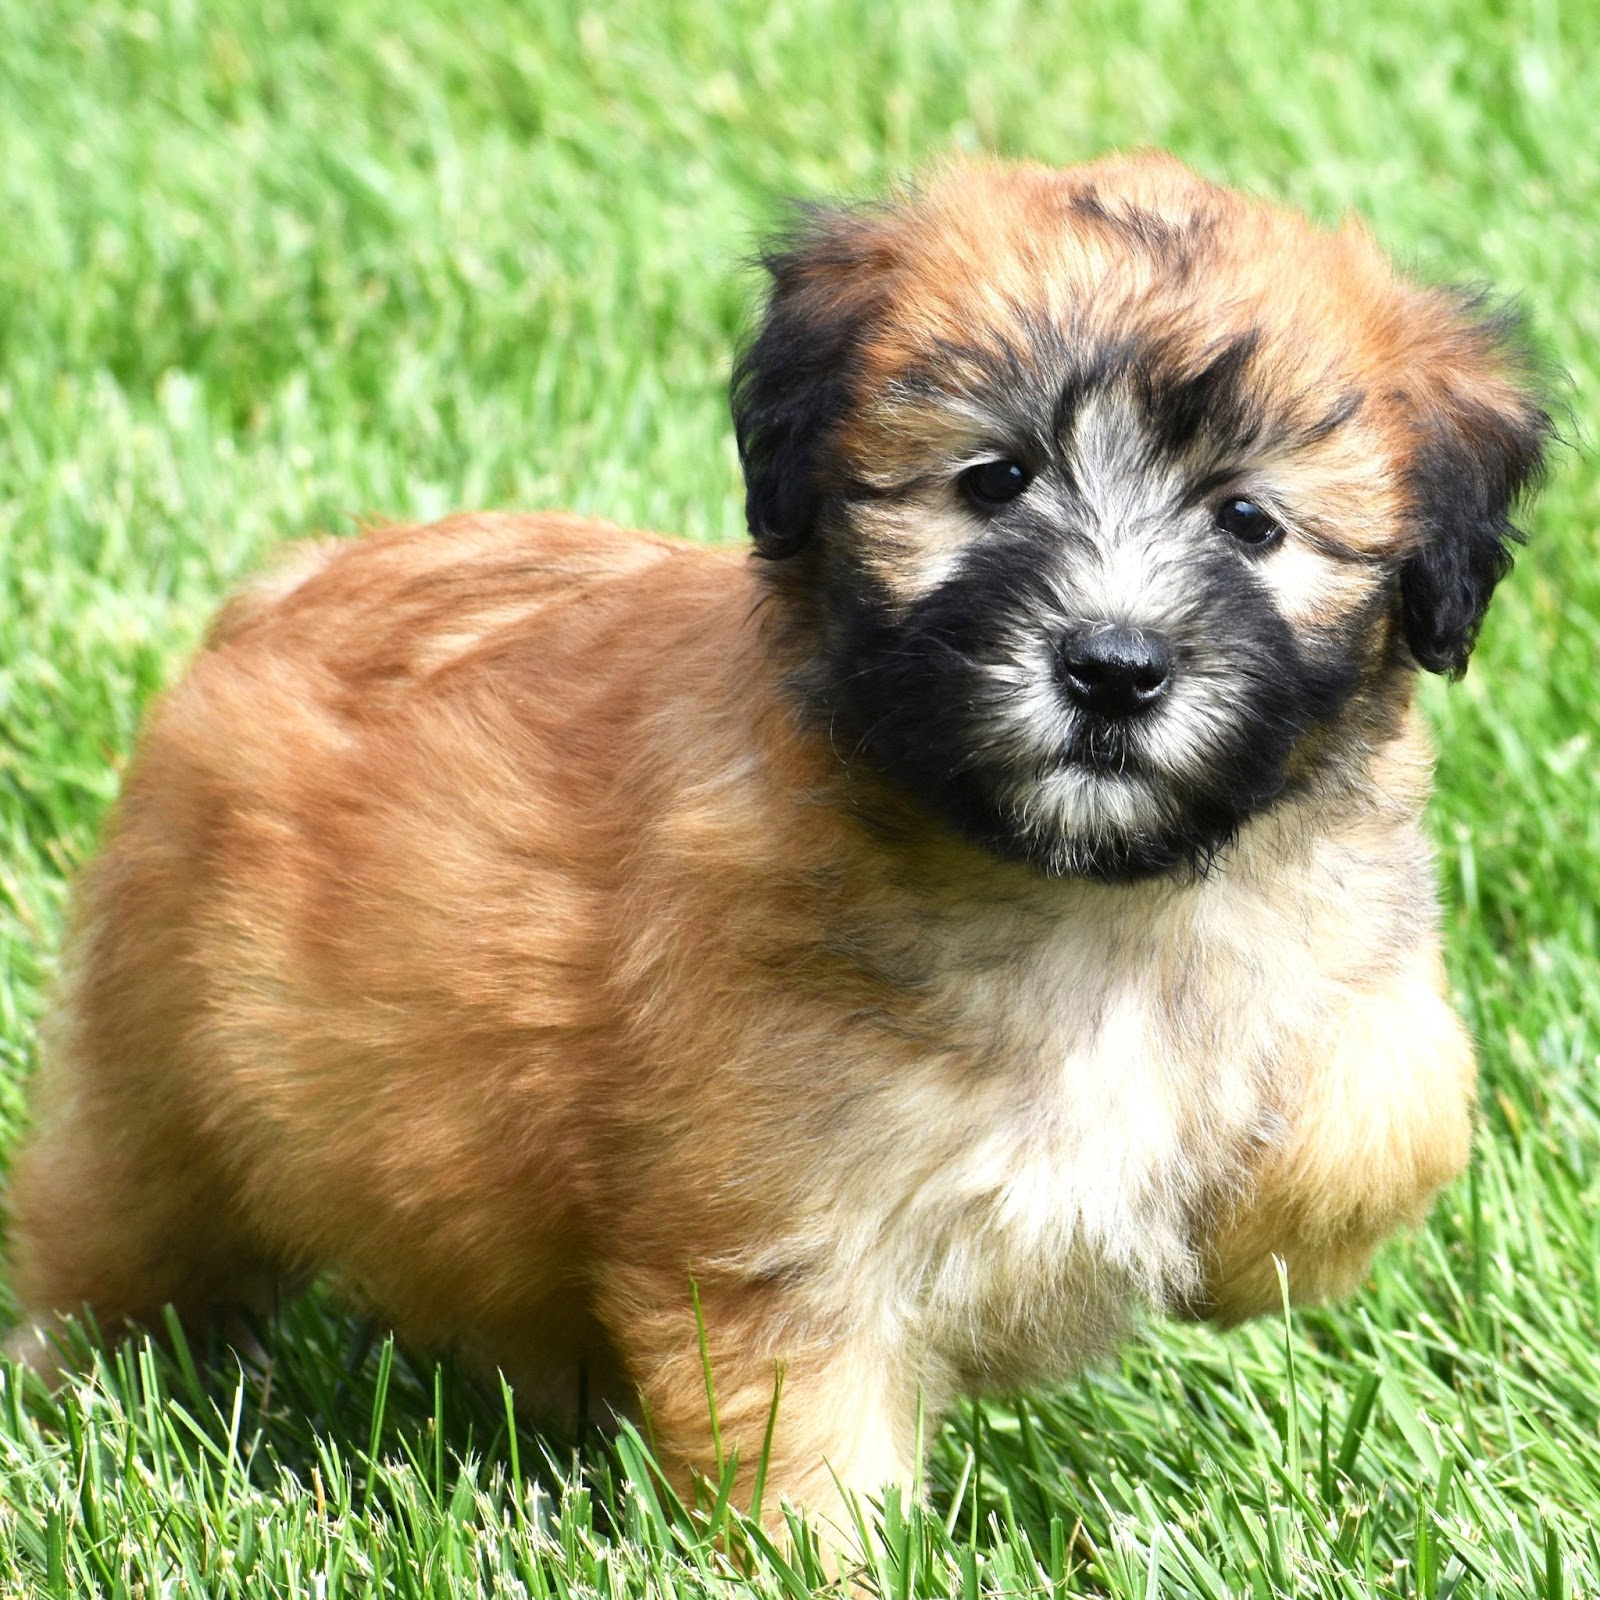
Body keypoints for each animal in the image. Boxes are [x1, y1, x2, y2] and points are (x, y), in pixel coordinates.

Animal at [3, 152, 1548, 1536]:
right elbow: (808, 1444)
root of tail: (286, 588)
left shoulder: (1339, 947)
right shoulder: (783, 1234)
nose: (1112, 668)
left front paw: (1247, 1249)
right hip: (162, 1092)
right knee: (110, 1241)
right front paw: (832, 1565)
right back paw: (73, 1397)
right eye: (994, 479)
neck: (1085, 899)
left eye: (1248, 520)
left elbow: (1397, 1091)